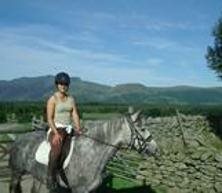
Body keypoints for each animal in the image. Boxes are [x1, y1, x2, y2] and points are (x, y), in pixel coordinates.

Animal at [8, 111, 158, 193]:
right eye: (142, 129)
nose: (156, 149)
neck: (91, 153)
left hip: (38, 176)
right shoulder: (78, 189)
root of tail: (18, 139)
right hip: (16, 173)